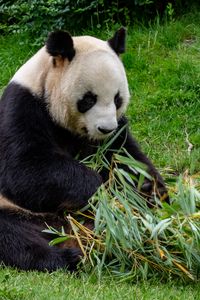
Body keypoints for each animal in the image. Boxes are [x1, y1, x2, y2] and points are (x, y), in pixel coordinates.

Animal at [0, 28, 169, 272]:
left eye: (117, 99)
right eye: (89, 99)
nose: (105, 128)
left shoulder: (115, 133)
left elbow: (126, 157)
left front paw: (149, 190)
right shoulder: (22, 107)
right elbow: (23, 170)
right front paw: (101, 190)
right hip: (14, 210)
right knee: (14, 236)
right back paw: (67, 257)